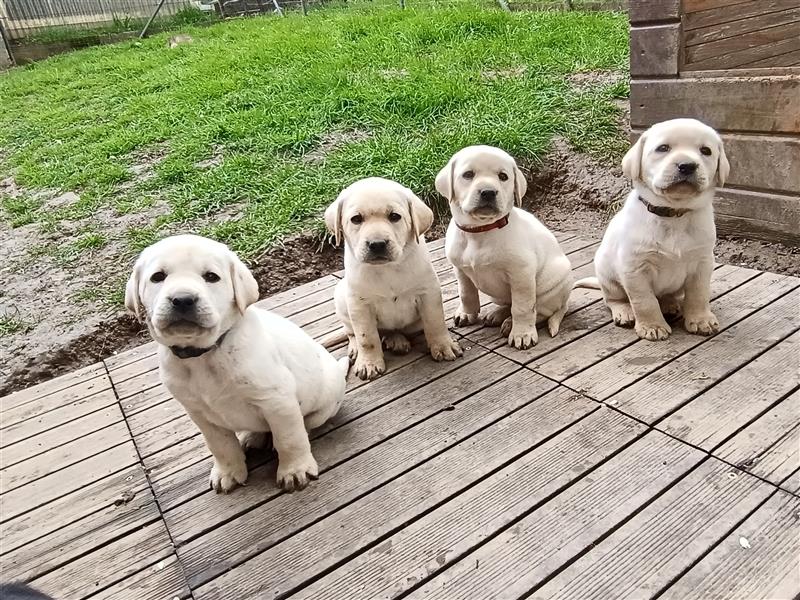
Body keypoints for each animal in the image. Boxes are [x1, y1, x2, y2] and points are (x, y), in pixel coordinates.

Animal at [126, 234, 348, 492]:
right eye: (157, 277)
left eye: (211, 276)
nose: (182, 299)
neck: (204, 355)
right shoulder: (199, 413)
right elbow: (220, 446)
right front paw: (228, 472)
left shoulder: (277, 400)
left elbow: (289, 438)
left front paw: (295, 470)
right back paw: (251, 438)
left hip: (324, 402)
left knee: (305, 424)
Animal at [324, 176, 462, 380]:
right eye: (356, 219)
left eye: (394, 216)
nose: (377, 244)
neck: (387, 268)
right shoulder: (359, 304)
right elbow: (366, 337)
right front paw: (369, 363)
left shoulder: (428, 293)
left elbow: (435, 322)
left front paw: (444, 346)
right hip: (341, 298)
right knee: (351, 332)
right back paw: (359, 348)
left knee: (392, 331)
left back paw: (397, 341)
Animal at [438, 146, 576, 352]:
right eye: (468, 174)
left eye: (503, 176)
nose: (488, 192)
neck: (480, 231)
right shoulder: (460, 269)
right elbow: (466, 293)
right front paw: (467, 314)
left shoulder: (521, 274)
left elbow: (523, 307)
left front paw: (522, 334)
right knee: (509, 303)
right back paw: (496, 315)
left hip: (553, 285)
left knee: (539, 310)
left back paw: (510, 323)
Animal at [576, 118, 732, 342]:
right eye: (663, 148)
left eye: (706, 151)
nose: (687, 165)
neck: (673, 214)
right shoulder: (635, 268)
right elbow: (645, 301)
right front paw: (652, 326)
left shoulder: (702, 263)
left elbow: (699, 295)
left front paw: (701, 320)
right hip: (607, 274)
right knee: (613, 299)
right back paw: (624, 312)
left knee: (666, 295)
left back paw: (669, 304)